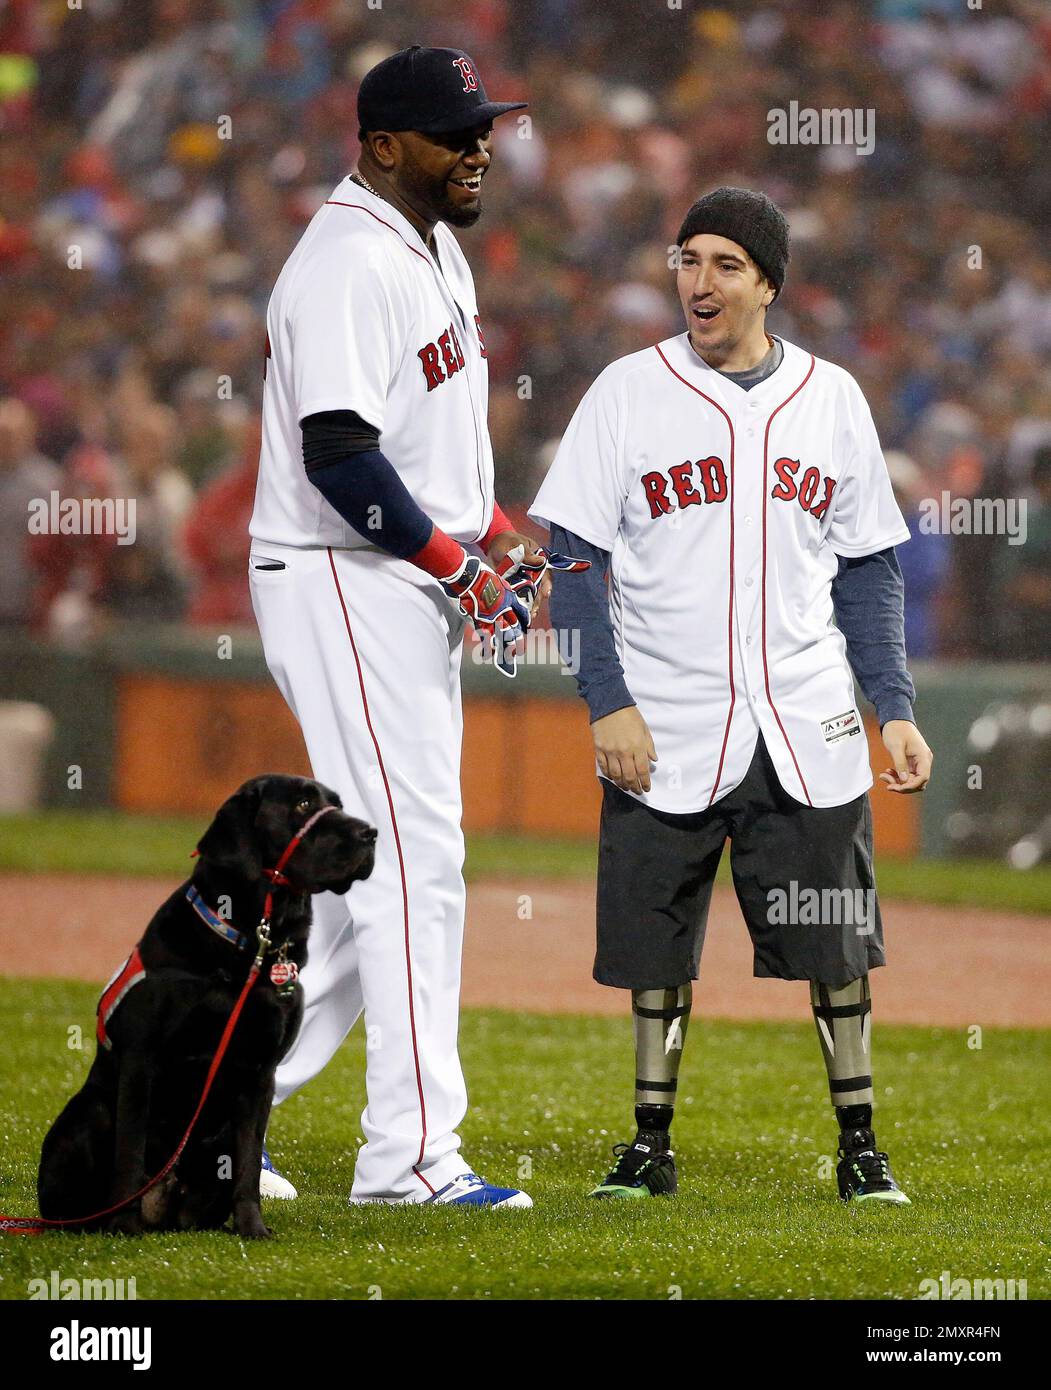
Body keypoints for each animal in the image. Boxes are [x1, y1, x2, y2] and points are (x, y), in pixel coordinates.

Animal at [37, 772, 372, 1239]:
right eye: (303, 804)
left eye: (337, 804)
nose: (371, 833)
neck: (249, 944)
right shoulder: (141, 1060)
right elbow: (130, 1156)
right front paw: (125, 1225)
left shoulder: (260, 1072)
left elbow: (247, 1166)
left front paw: (253, 1229)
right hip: (86, 1115)